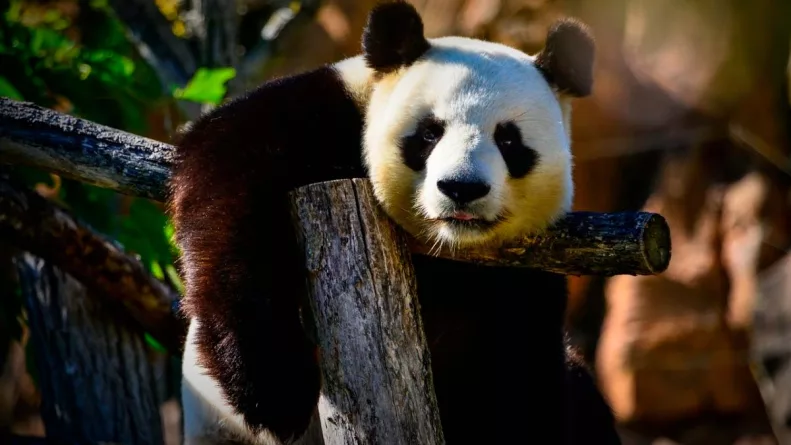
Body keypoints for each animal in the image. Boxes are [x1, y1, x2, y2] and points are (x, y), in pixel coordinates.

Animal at [168, 1, 621, 444]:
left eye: (508, 139)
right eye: (429, 133)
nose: (461, 187)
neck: (445, 248)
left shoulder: (524, 284)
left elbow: (519, 380)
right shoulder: (314, 119)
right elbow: (227, 190)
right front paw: (279, 392)